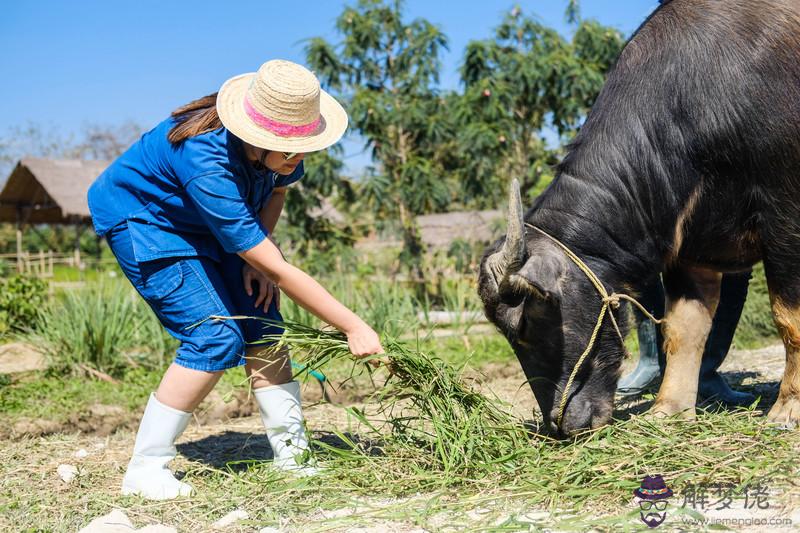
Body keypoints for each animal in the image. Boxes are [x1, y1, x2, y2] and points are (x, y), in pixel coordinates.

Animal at [478, 0, 800, 436]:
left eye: (528, 320)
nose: (561, 425)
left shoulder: (785, 218)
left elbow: (789, 318)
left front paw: (788, 407)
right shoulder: (690, 244)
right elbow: (682, 329)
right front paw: (670, 409)